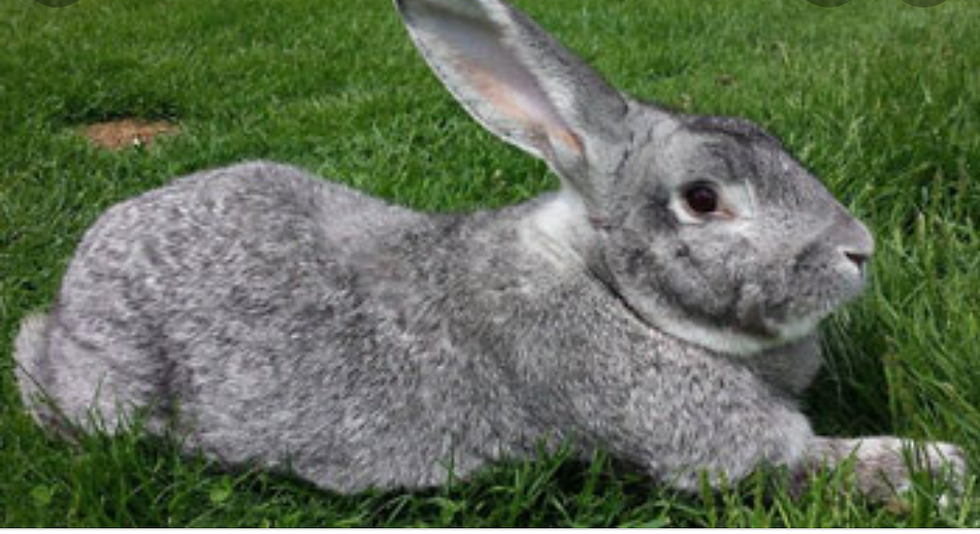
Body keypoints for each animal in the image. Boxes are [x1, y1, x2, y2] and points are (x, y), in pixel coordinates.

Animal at [15, 0, 965, 499]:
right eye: (702, 199)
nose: (858, 250)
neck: (612, 288)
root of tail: (65, 301)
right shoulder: (720, 444)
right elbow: (806, 463)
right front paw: (938, 466)